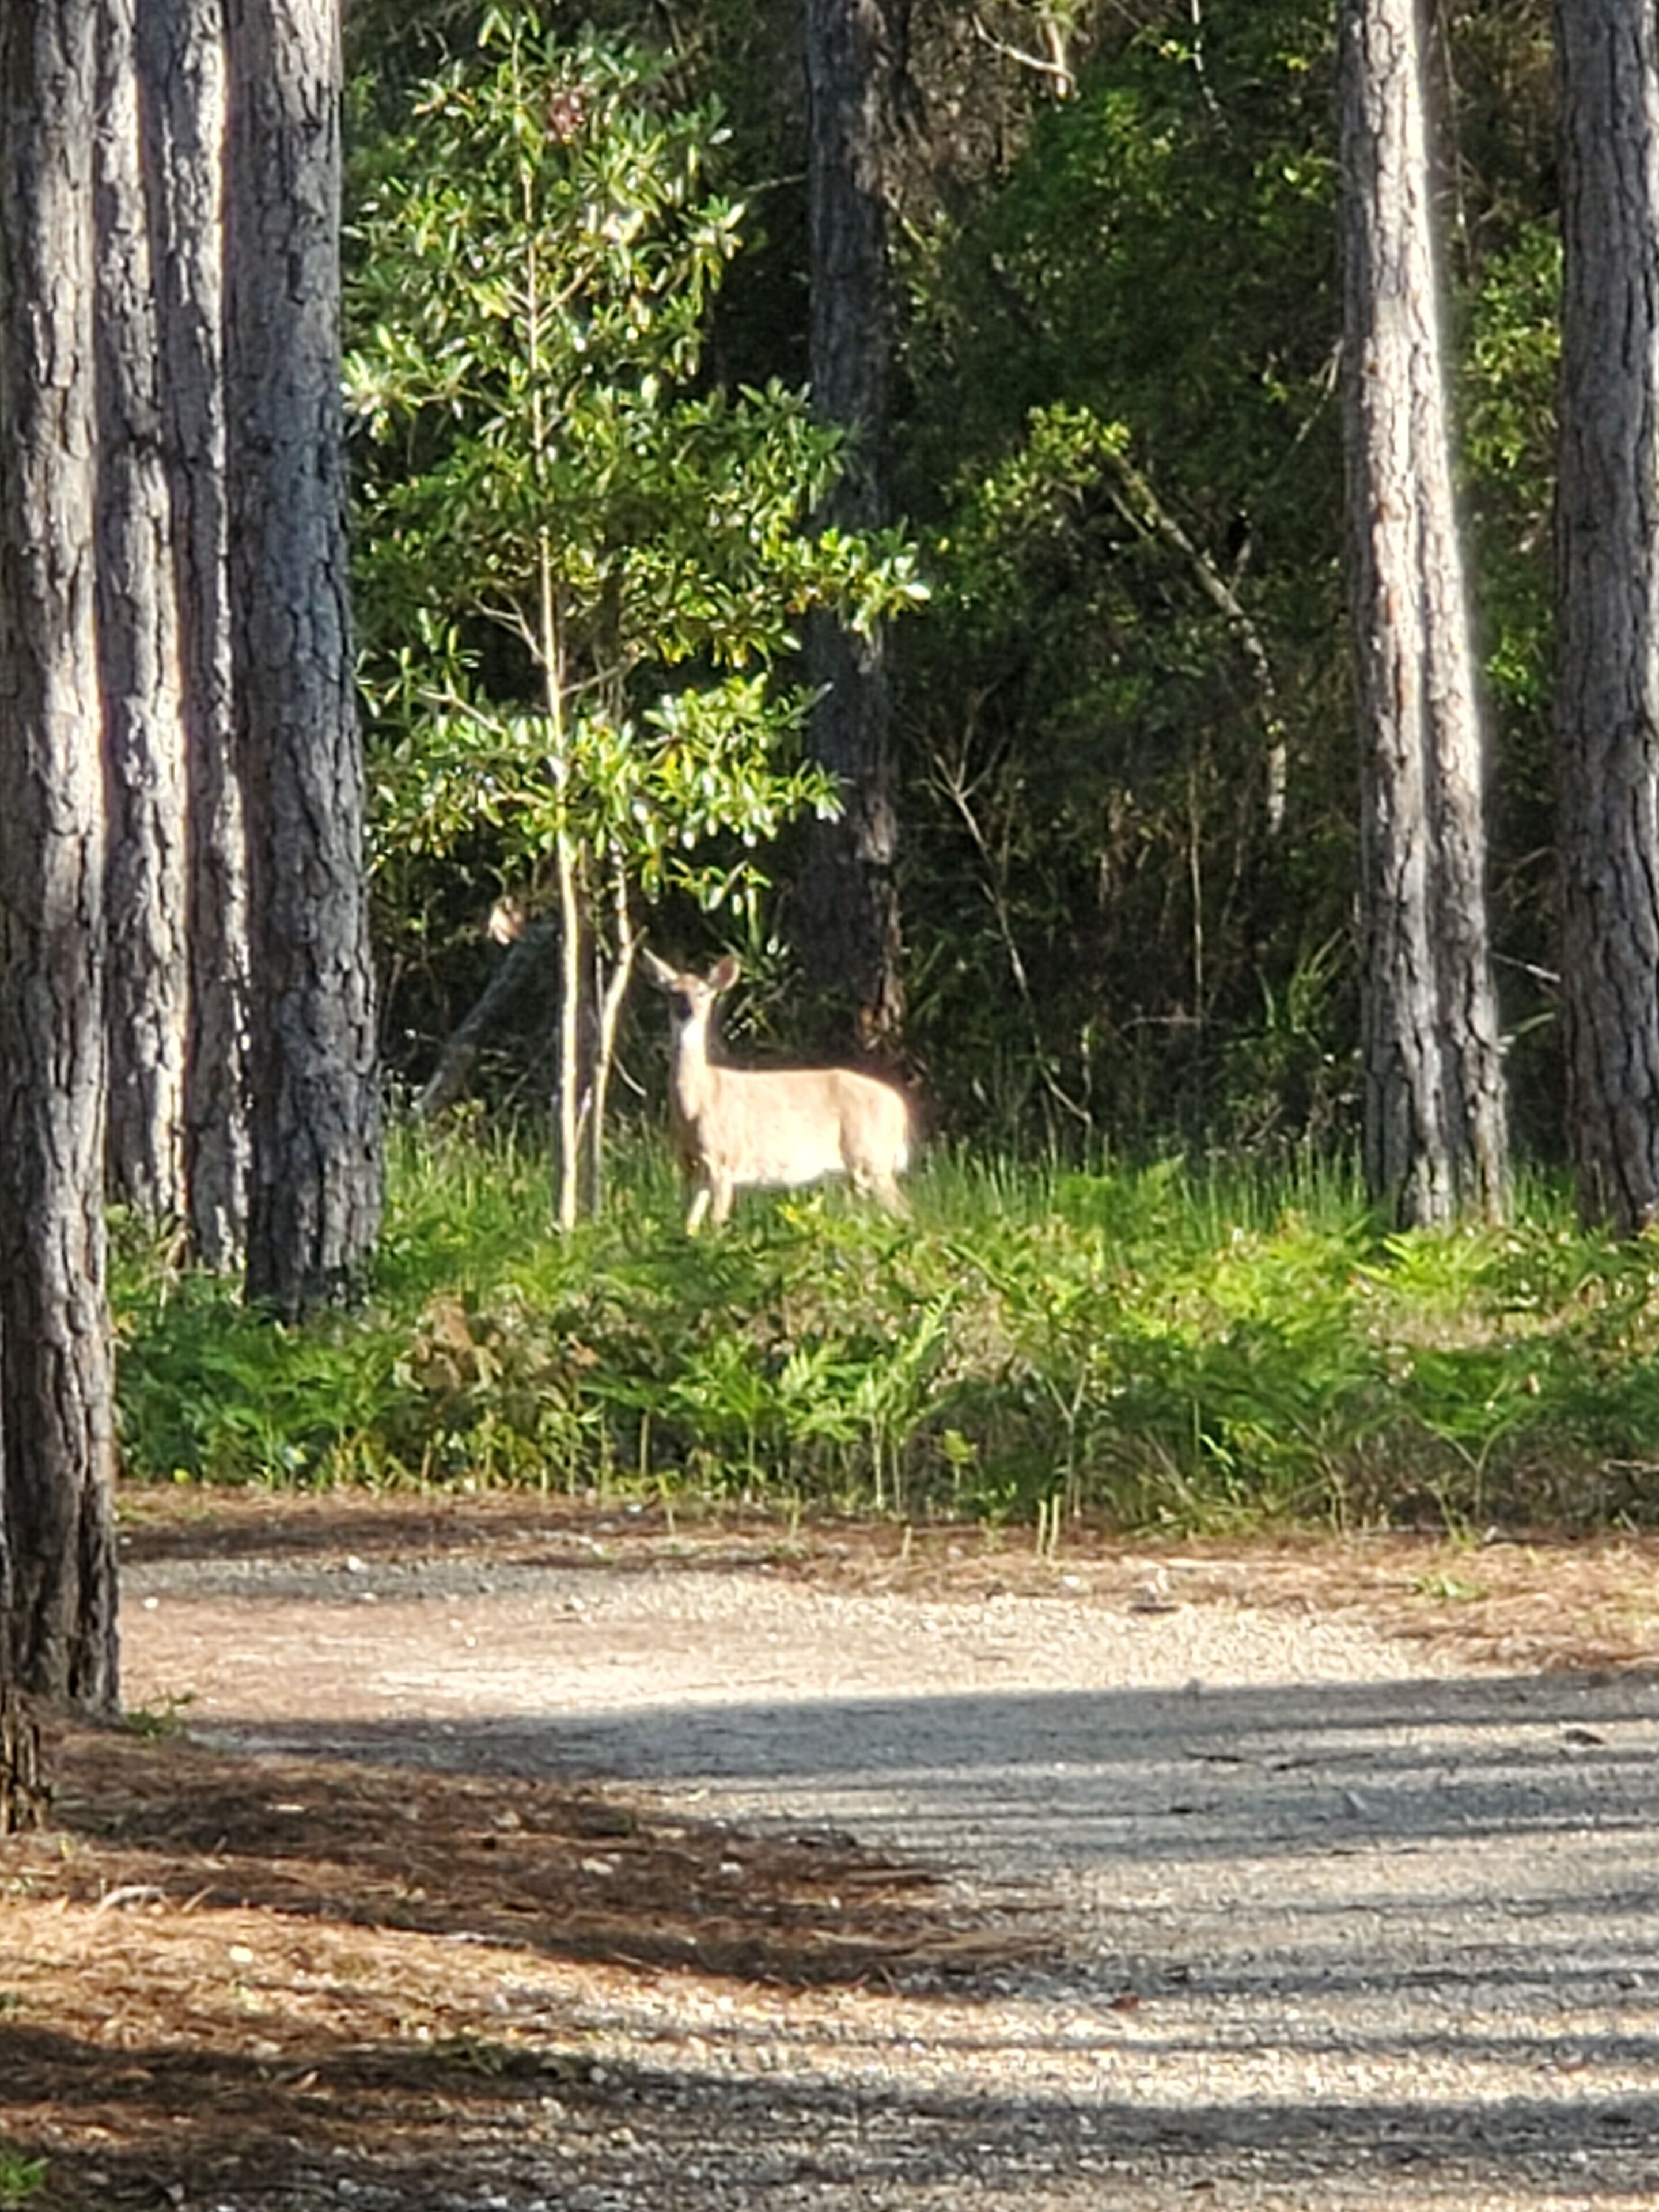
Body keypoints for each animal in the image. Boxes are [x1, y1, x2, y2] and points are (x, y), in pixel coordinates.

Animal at [641, 950, 913, 1231]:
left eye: (704, 992)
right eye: (672, 992)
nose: (687, 1010)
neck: (697, 1105)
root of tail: (900, 1106)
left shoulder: (723, 1160)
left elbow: (716, 1226)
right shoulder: (689, 1167)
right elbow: (689, 1226)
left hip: (872, 1157)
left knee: (906, 1213)